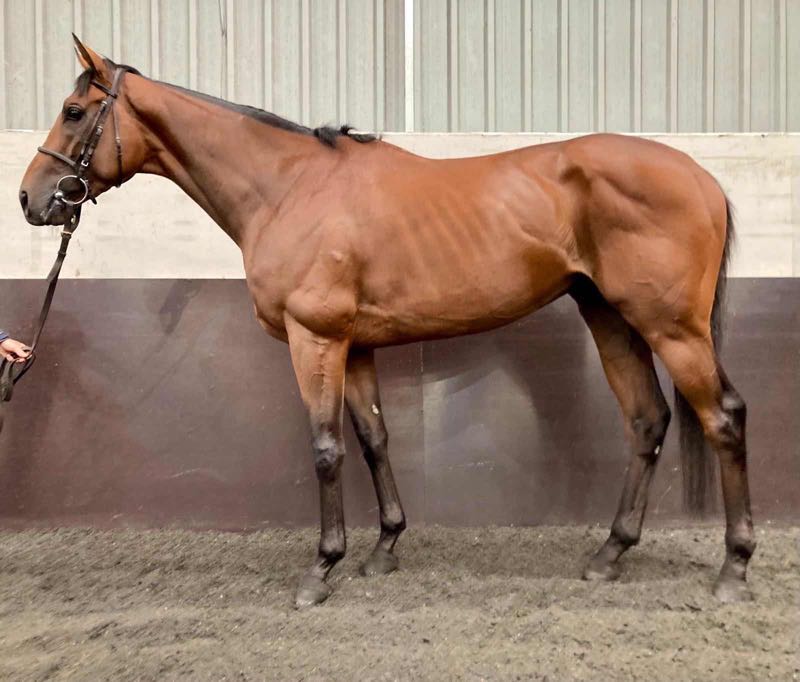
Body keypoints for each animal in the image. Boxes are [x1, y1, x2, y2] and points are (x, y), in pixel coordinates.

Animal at [19, 36, 755, 607]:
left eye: (74, 111)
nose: (30, 199)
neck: (288, 187)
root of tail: (704, 180)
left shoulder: (313, 339)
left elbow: (325, 447)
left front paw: (322, 568)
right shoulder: (355, 345)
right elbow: (374, 438)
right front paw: (385, 548)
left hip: (672, 329)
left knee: (722, 417)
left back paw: (733, 567)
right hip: (611, 319)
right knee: (647, 421)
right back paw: (609, 554)